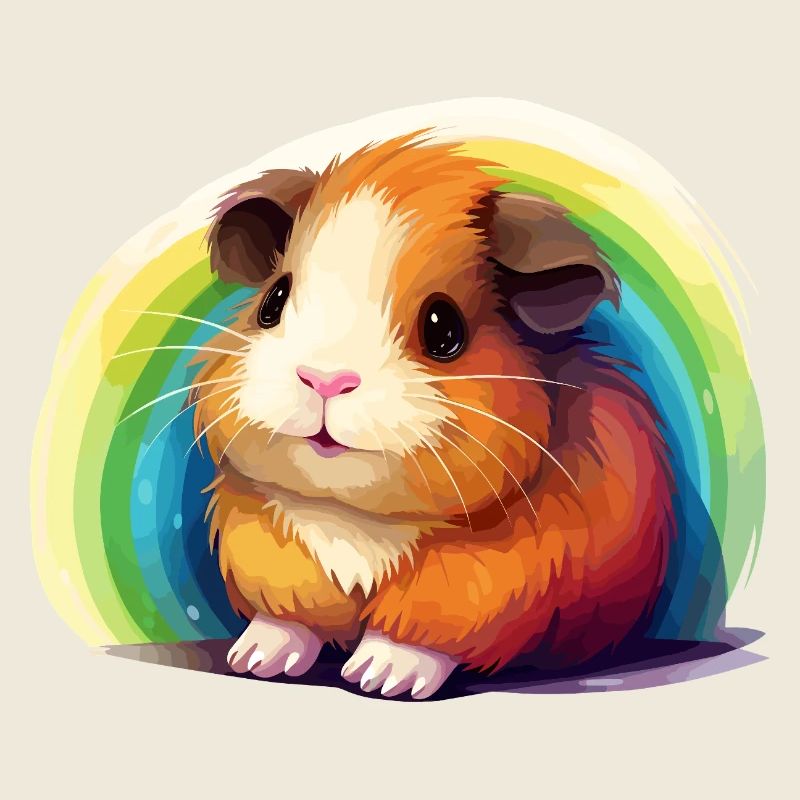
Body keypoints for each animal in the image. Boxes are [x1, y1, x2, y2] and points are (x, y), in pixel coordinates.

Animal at [191, 131, 675, 699]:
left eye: (444, 329)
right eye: (273, 300)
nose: (324, 380)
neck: (358, 521)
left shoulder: (483, 581)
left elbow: (416, 634)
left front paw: (379, 678)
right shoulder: (270, 544)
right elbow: (289, 619)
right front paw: (253, 660)